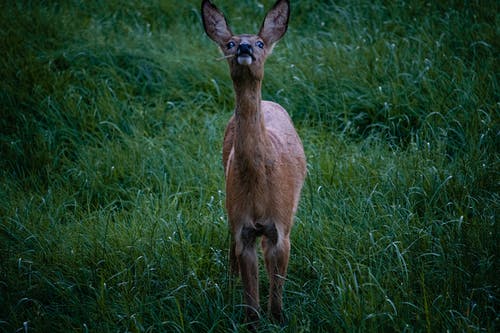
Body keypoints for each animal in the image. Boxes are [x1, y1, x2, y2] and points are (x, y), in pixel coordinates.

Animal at [201, 0, 306, 322]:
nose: (245, 47)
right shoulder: (243, 227)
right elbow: (251, 302)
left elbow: (276, 289)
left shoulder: (281, 226)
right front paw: (253, 320)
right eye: (229, 43)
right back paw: (229, 279)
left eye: (260, 43)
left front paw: (279, 318)